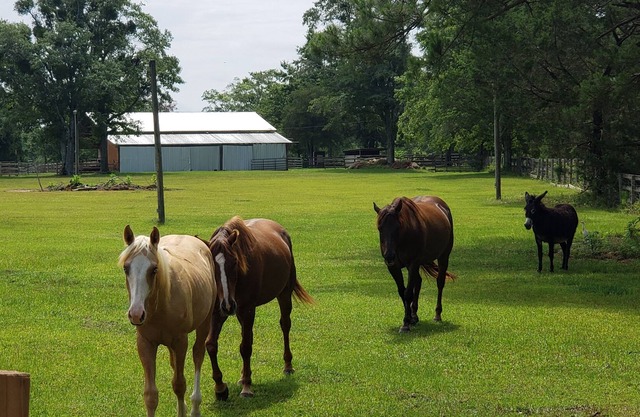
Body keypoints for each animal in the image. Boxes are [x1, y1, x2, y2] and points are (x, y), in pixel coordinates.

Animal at [118, 225, 216, 417]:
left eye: (154, 269)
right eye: (126, 268)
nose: (136, 314)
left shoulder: (180, 342)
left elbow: (179, 385)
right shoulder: (145, 343)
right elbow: (151, 395)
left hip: (204, 323)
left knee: (198, 355)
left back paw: (195, 406)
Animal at [203, 216, 314, 399]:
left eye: (235, 262)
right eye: (212, 266)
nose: (228, 305)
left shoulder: (247, 310)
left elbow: (246, 347)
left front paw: (247, 386)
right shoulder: (218, 311)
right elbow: (211, 344)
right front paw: (220, 387)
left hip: (284, 294)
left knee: (285, 325)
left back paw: (287, 365)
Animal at [373, 196, 455, 333]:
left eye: (398, 227)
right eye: (380, 228)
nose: (389, 255)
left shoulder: (413, 264)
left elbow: (407, 293)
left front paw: (406, 323)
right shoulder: (393, 267)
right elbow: (402, 291)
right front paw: (409, 318)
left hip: (443, 257)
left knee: (440, 283)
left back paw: (437, 314)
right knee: (418, 282)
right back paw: (414, 315)